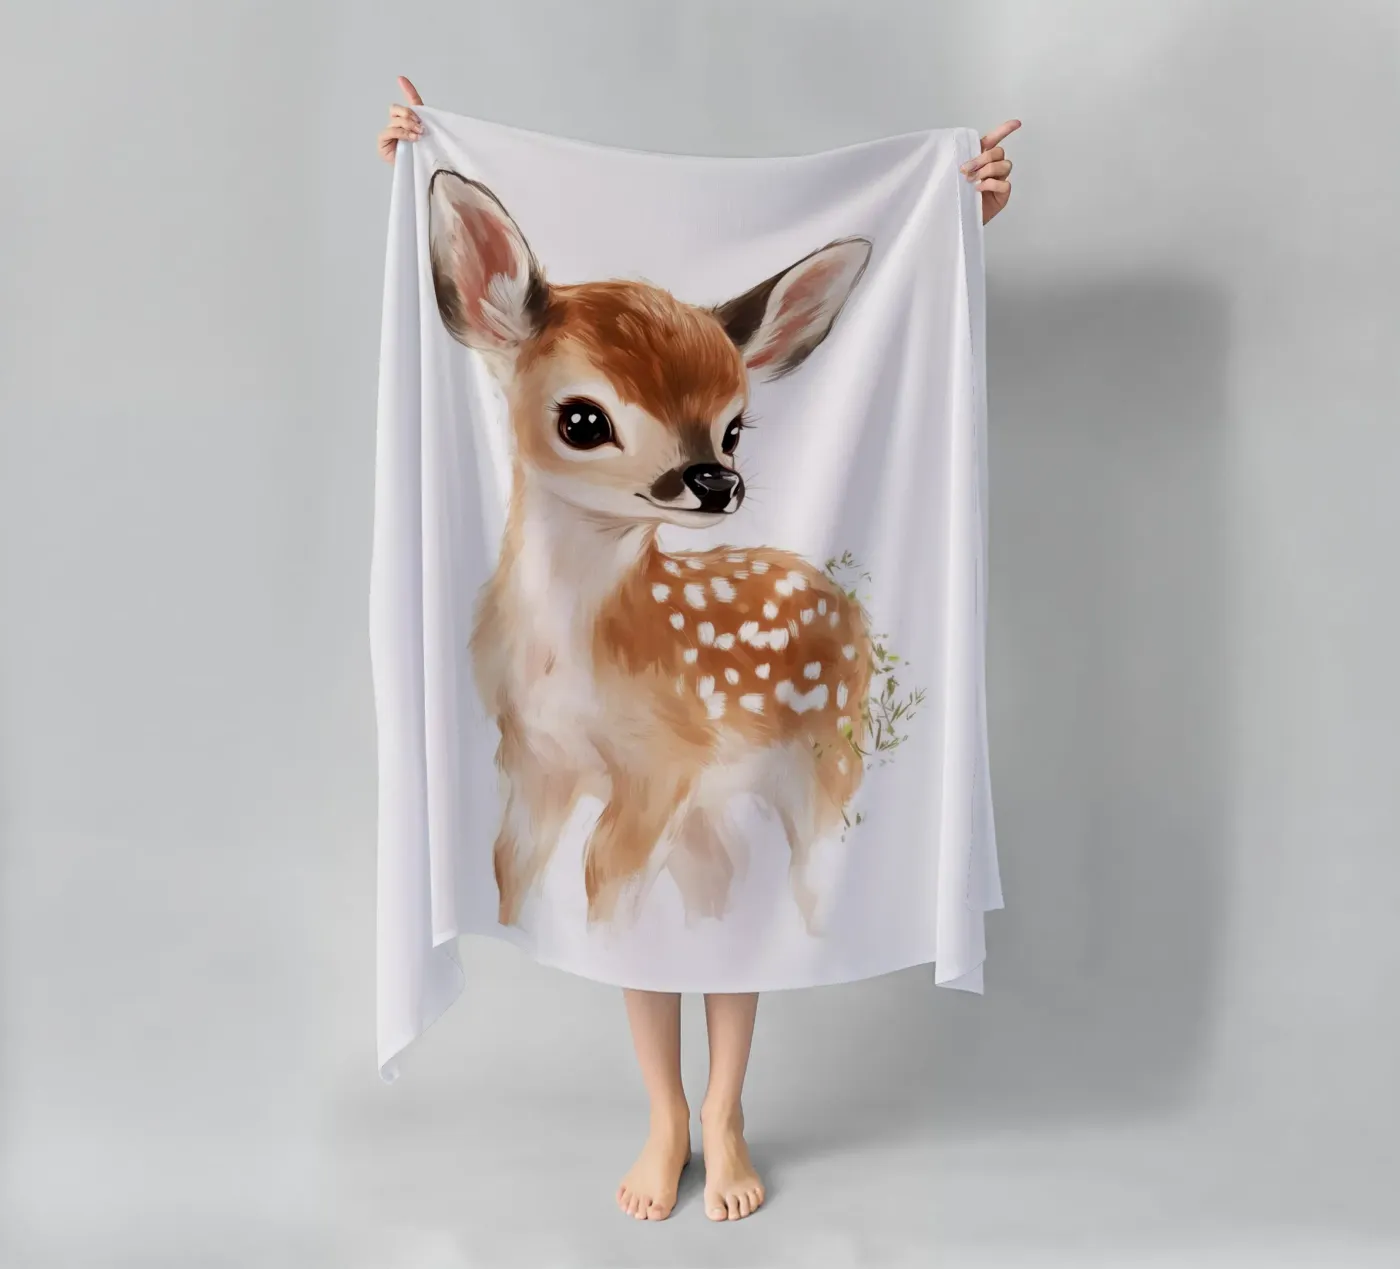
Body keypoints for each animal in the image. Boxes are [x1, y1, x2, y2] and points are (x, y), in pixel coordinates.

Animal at [427, 169, 874, 932]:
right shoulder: (531, 758)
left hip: (830, 754)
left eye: (733, 429)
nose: (716, 481)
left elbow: (605, 890)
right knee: (721, 878)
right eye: (582, 421)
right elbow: (512, 877)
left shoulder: (666, 759)